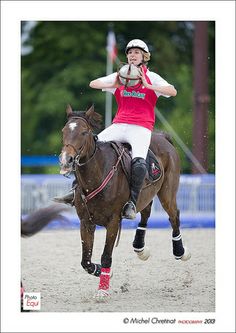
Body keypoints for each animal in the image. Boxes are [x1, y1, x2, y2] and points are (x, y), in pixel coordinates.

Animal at [59, 105, 192, 300]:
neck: (96, 176)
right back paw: (140, 249)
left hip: (167, 192)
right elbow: (86, 261)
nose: (66, 160)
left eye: (84, 132)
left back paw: (180, 251)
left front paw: (102, 290)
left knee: (174, 216)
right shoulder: (86, 222)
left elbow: (106, 256)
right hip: (146, 194)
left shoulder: (113, 221)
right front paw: (102, 271)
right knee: (146, 213)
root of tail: (162, 137)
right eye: (64, 131)